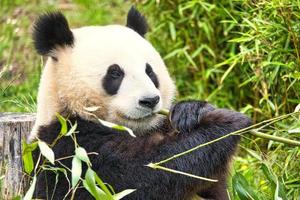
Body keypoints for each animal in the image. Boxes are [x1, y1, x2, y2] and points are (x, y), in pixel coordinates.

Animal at [29, 6, 251, 200]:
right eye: (115, 73)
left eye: (149, 71)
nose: (150, 101)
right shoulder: (70, 147)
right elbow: (140, 176)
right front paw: (227, 123)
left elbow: (211, 184)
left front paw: (190, 111)